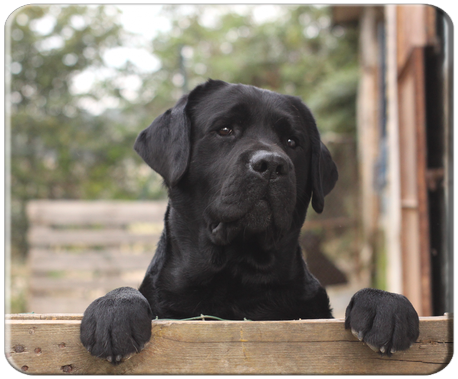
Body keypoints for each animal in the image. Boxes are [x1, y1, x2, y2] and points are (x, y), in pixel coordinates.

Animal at [79, 80, 418, 366]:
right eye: (225, 129)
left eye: (292, 141)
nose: (272, 164)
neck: (235, 274)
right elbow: (126, 294)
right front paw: (113, 312)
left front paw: (385, 307)